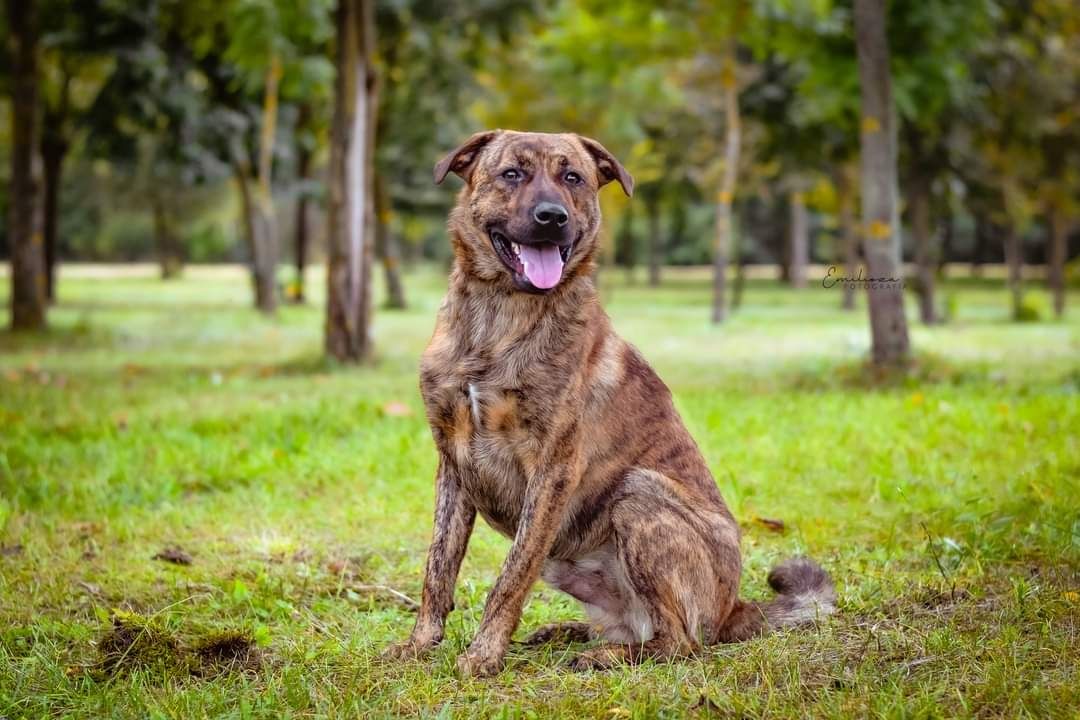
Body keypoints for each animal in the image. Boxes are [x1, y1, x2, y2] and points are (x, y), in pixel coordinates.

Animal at [384, 132, 838, 677]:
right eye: (512, 174)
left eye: (573, 177)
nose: (552, 216)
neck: (502, 313)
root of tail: (735, 607)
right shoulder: (452, 462)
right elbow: (438, 568)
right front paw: (420, 645)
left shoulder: (552, 469)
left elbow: (511, 576)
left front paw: (484, 655)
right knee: (635, 626)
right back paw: (566, 634)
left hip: (638, 496)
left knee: (680, 642)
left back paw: (605, 655)